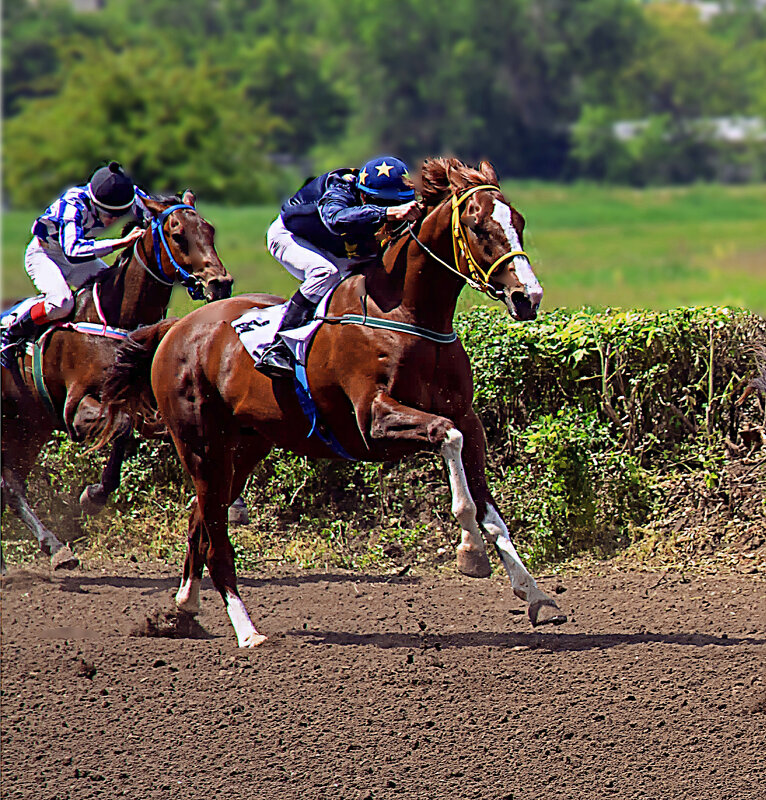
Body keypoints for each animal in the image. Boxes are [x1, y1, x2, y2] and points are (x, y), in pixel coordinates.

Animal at [1, 194, 232, 568]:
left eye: (209, 229)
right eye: (177, 234)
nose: (220, 283)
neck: (114, 317)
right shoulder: (75, 408)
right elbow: (122, 426)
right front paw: (94, 495)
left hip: (29, 425)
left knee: (11, 484)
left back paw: (54, 546)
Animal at [102, 159, 568, 648]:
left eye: (518, 222)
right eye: (478, 227)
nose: (527, 297)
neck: (407, 315)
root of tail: (175, 327)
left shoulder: (468, 416)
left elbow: (487, 501)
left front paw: (537, 596)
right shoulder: (374, 422)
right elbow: (448, 439)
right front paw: (470, 551)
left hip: (244, 445)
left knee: (199, 517)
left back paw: (184, 608)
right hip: (199, 443)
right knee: (215, 532)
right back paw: (247, 630)